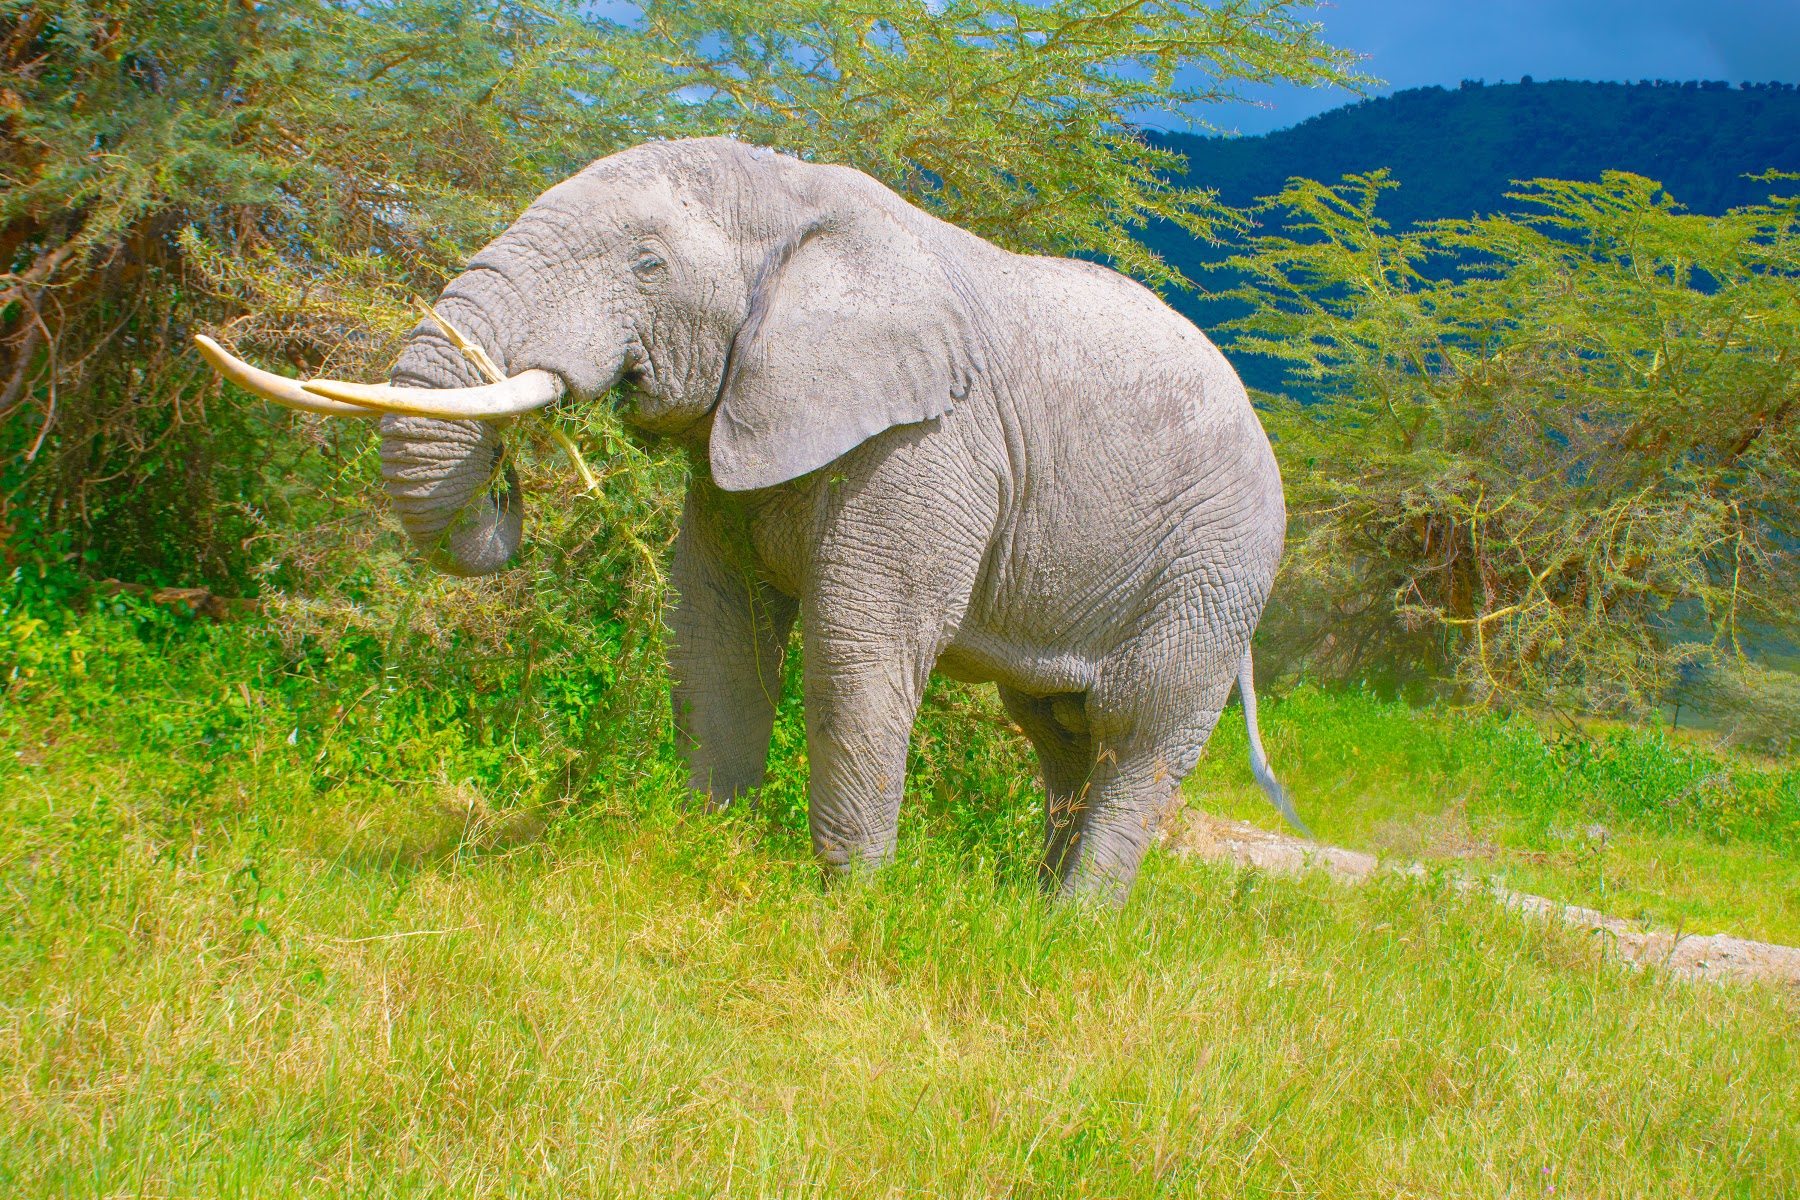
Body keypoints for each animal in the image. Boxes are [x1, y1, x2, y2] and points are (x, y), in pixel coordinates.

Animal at [197, 136, 1308, 903]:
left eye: (646, 265)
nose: (510, 486)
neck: (793, 193)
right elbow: (716, 632)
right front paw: (701, 855)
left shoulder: (928, 443)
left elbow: (860, 647)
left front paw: (848, 910)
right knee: (1058, 733)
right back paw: (1025, 907)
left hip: (1216, 564)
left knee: (1137, 732)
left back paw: (1071, 927)